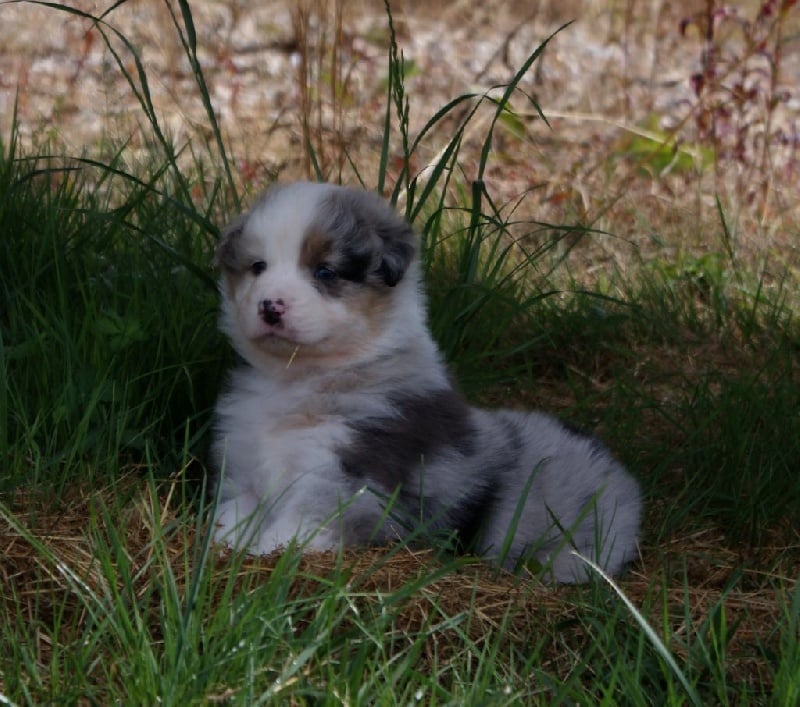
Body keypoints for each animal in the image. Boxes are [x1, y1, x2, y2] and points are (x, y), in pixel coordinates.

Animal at [211, 181, 641, 582]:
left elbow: (292, 531)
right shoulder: (244, 472)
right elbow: (230, 517)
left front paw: (264, 560)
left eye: (325, 271)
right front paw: (225, 550)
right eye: (258, 266)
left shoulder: (342, 477)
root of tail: (623, 478)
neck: (297, 380)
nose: (270, 307)